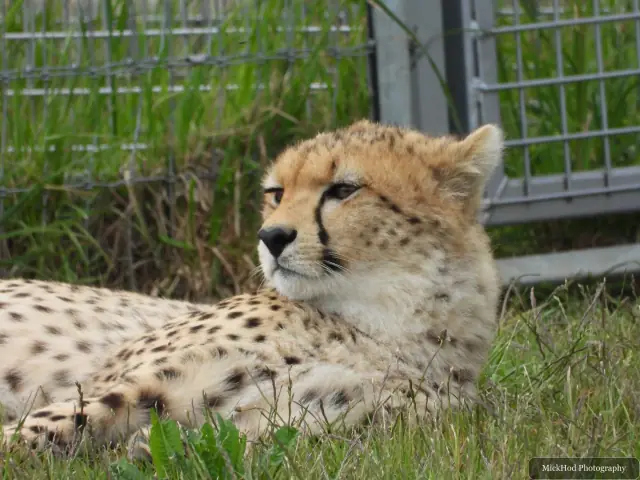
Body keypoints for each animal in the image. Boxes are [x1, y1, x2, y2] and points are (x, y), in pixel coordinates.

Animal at [1, 119, 503, 460]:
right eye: (276, 192)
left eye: (343, 189)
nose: (272, 236)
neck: (386, 323)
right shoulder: (129, 383)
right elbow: (41, 426)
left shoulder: (319, 418)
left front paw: (154, 448)